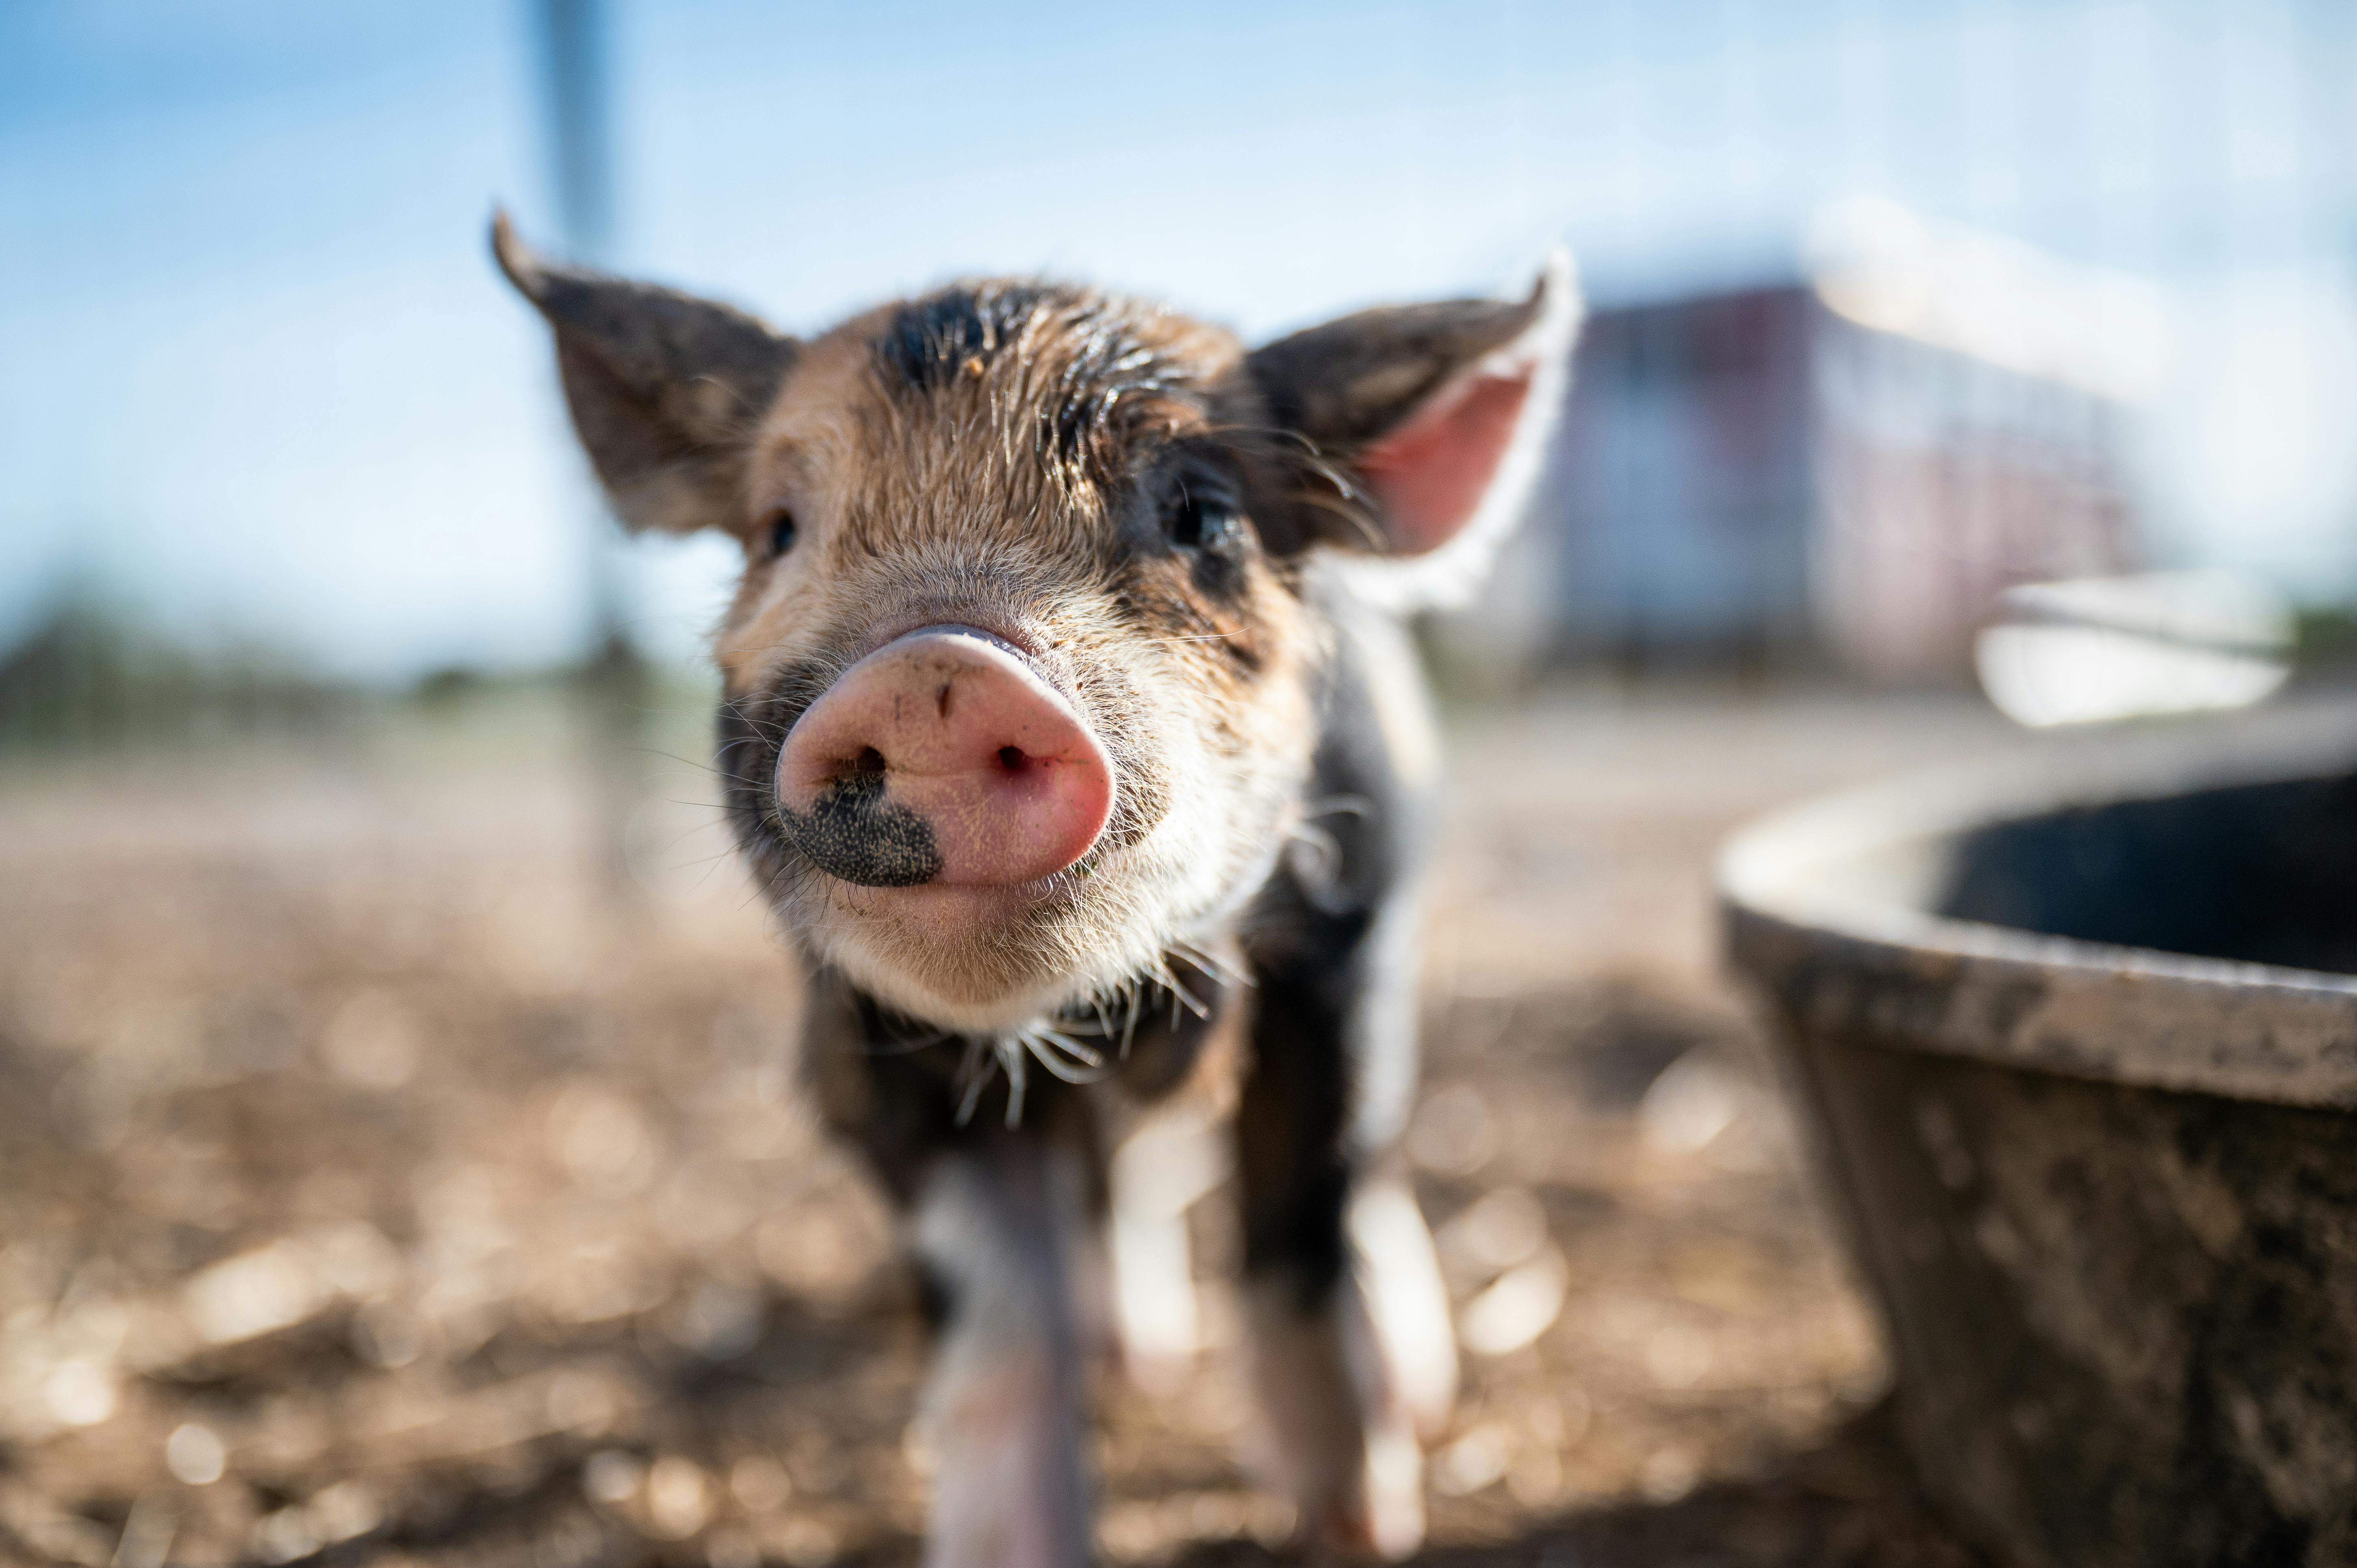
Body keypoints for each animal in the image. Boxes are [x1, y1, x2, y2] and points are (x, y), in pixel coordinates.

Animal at [494, 214, 1578, 1566]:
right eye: (778, 530)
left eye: (1203, 515)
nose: (938, 673)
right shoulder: (870, 1053)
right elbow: (999, 1334)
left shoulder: (1337, 955)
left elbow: (1299, 1236)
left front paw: (1357, 1528)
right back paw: (1135, 1354)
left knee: (1357, 1170)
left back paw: (1401, 1390)